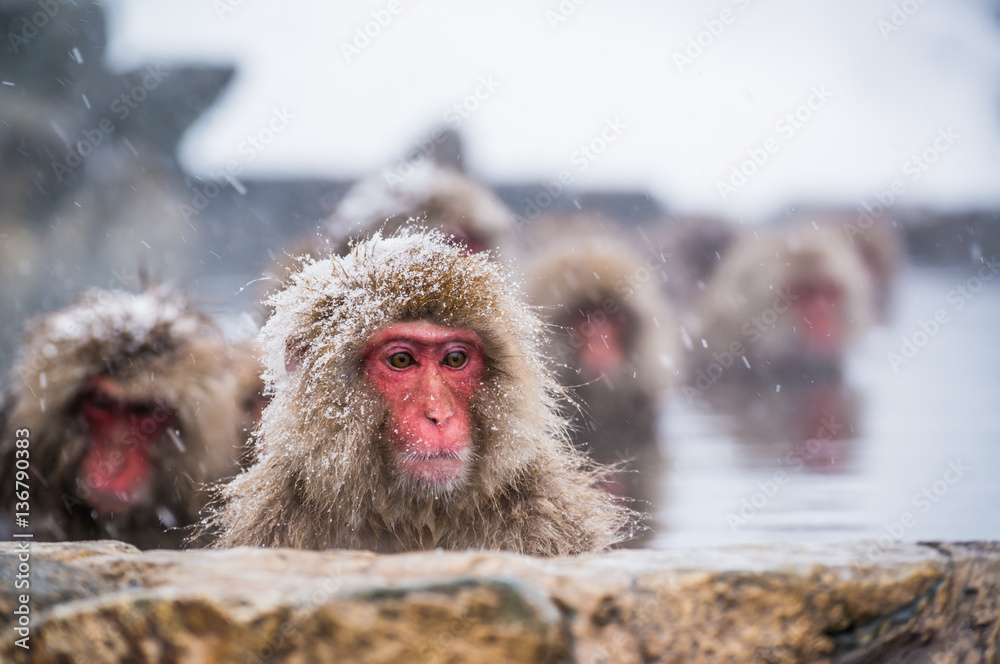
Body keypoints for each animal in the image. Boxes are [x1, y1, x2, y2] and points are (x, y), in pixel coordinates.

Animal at [203, 228, 634, 555]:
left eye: (455, 359)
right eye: (401, 360)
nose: (439, 414)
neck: (419, 518)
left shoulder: (546, 519)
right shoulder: (274, 521)